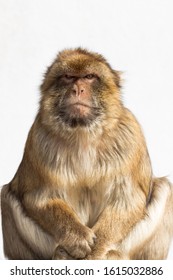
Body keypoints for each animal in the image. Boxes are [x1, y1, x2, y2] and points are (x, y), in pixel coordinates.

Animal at [0, 48, 172, 260]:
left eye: (89, 77)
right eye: (68, 77)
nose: (77, 90)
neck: (83, 134)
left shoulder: (130, 136)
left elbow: (127, 199)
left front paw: (94, 253)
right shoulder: (38, 140)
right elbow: (39, 198)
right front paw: (77, 238)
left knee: (164, 188)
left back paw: (114, 255)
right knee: (6, 195)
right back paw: (61, 253)